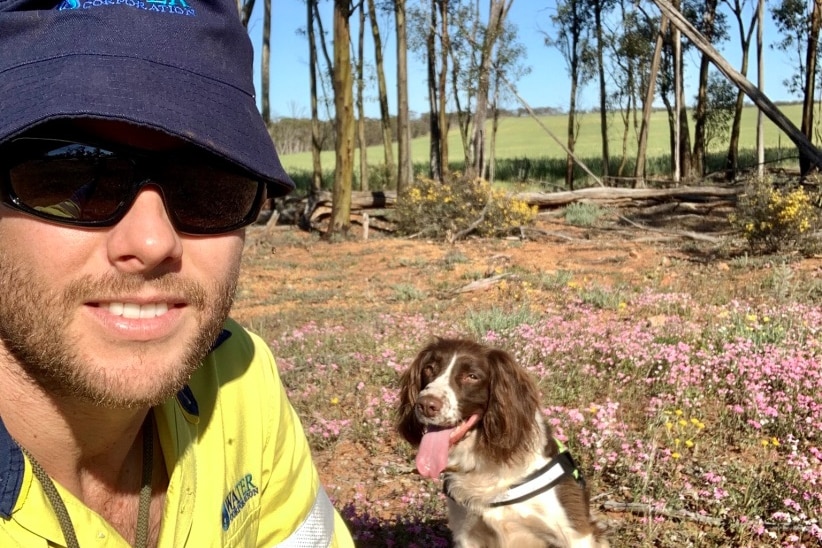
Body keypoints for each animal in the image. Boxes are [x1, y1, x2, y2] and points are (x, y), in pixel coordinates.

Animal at [396, 338, 608, 548]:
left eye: (472, 376)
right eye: (429, 368)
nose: (425, 405)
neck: (487, 463)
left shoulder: (574, 535)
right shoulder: (467, 534)